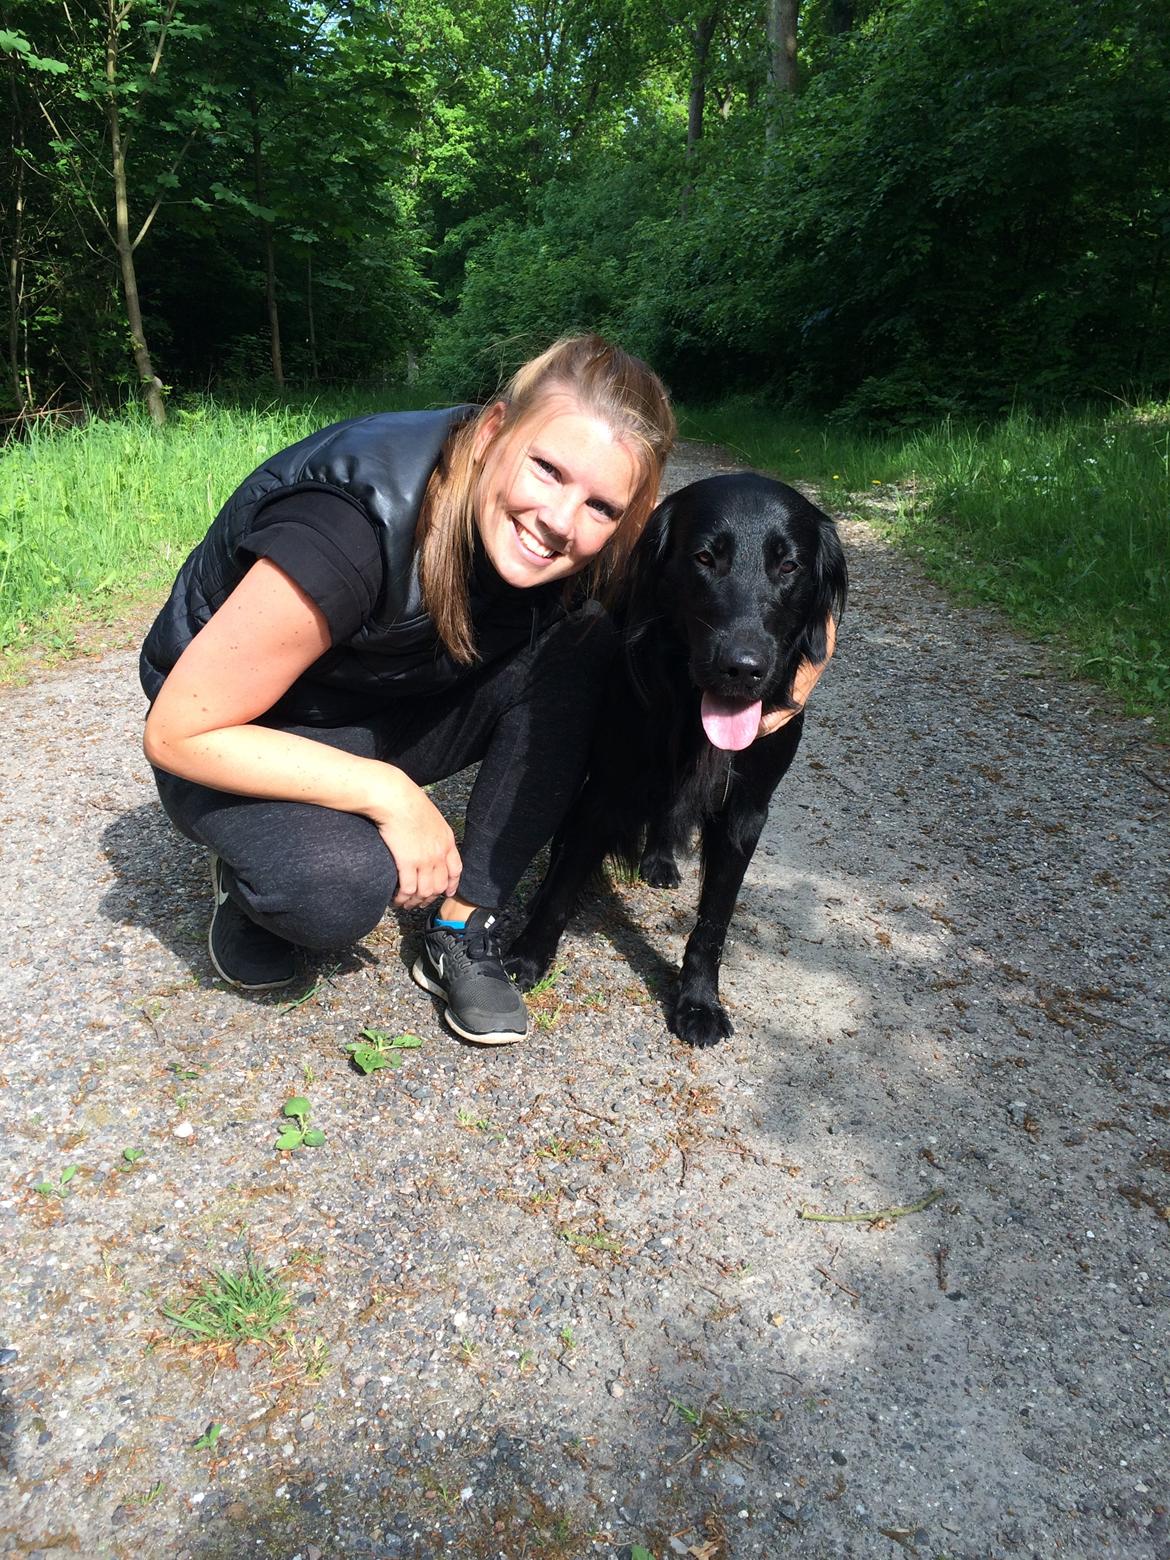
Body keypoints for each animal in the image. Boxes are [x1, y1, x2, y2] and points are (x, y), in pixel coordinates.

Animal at [508, 464, 848, 1048]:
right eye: (704, 558)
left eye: (789, 566)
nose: (742, 668)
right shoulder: (610, 782)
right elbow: (564, 878)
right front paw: (528, 956)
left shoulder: (746, 811)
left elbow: (714, 921)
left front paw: (699, 1002)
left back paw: (661, 860)